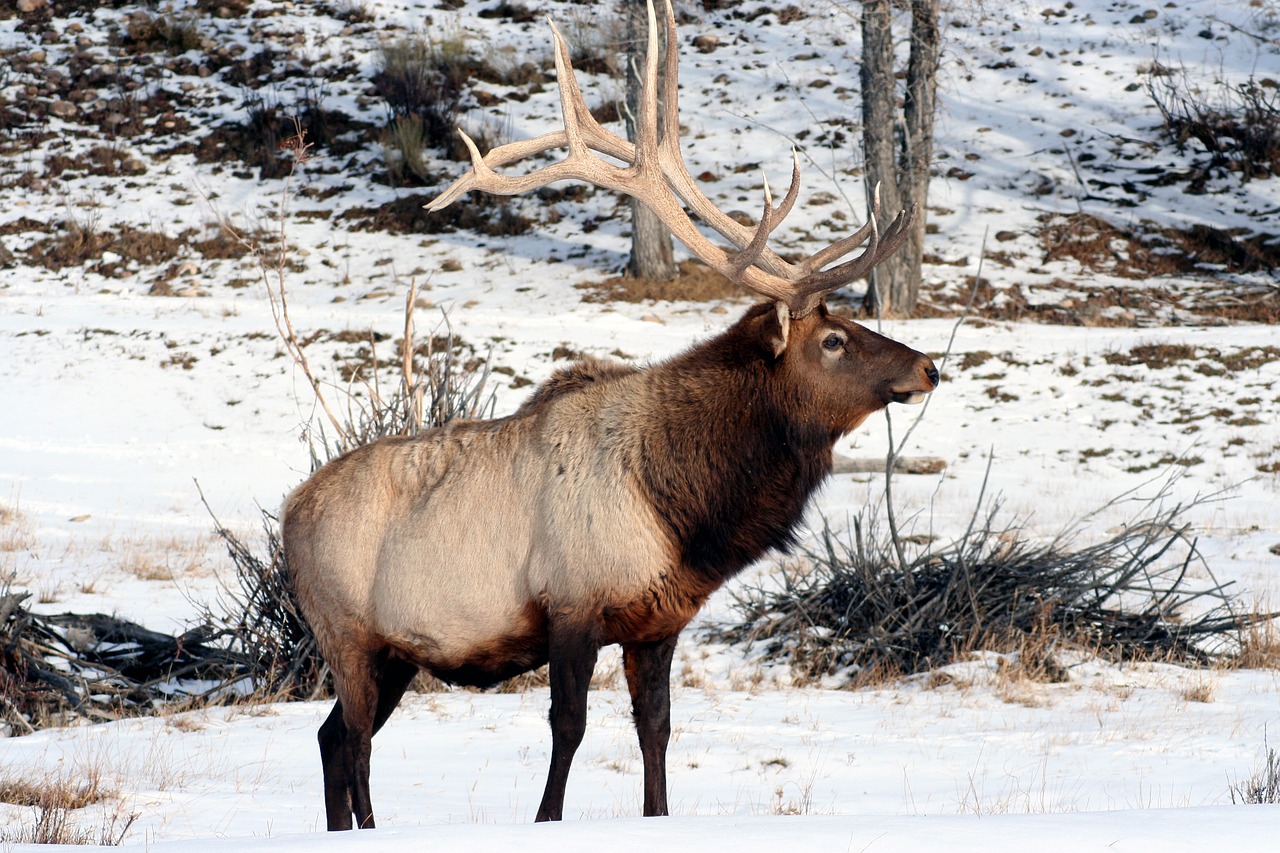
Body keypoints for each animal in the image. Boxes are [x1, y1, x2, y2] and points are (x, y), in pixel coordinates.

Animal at [282, 1, 942, 829]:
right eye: (833, 339)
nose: (928, 365)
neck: (683, 515)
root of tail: (286, 515)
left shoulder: (658, 623)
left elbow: (655, 729)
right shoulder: (570, 603)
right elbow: (568, 727)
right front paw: (545, 818)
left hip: (394, 651)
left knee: (331, 736)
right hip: (347, 632)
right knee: (358, 741)